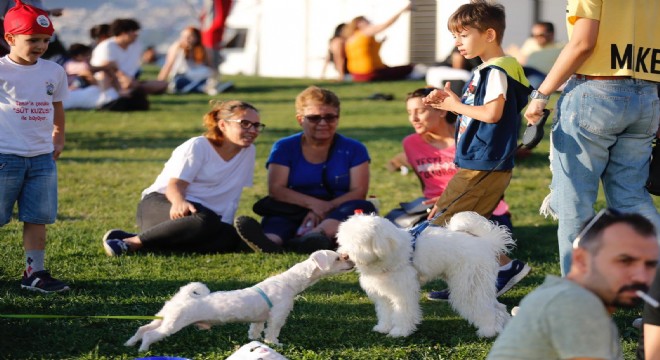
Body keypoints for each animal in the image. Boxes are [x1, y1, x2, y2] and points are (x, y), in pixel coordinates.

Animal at [122, 250, 354, 352]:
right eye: (338, 258)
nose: (351, 261)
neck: (289, 282)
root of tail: (183, 297)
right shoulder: (277, 316)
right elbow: (272, 332)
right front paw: (275, 344)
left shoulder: (259, 319)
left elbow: (255, 331)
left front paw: (255, 341)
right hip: (173, 324)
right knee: (150, 334)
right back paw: (143, 349)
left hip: (164, 318)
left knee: (143, 328)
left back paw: (129, 343)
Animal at [338, 211, 512, 338]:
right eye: (343, 240)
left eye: (358, 242)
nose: (344, 256)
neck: (387, 251)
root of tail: (487, 242)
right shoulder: (384, 293)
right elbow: (386, 312)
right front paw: (384, 327)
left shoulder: (403, 292)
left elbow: (403, 312)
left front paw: (399, 332)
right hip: (479, 284)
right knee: (499, 307)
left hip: (469, 285)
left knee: (486, 308)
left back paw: (488, 331)